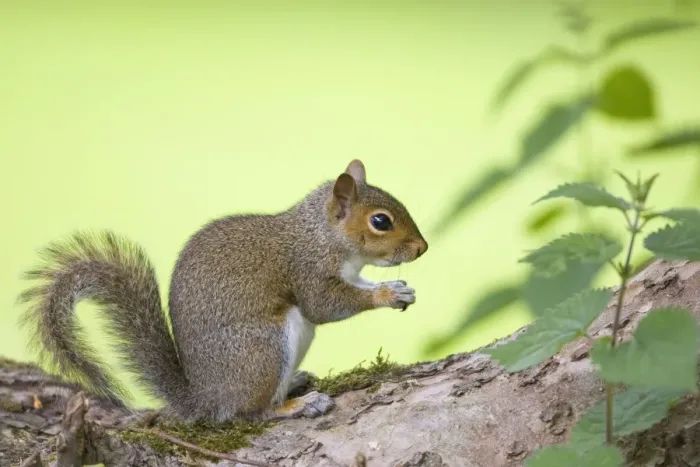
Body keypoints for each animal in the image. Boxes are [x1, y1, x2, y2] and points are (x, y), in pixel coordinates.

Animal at [17, 159, 428, 422]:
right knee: (252, 413)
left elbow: (359, 285)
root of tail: (206, 398)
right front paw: (386, 295)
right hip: (263, 348)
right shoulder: (307, 270)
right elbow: (325, 306)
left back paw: (295, 382)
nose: (422, 248)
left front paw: (399, 289)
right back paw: (295, 406)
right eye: (380, 221)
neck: (322, 235)